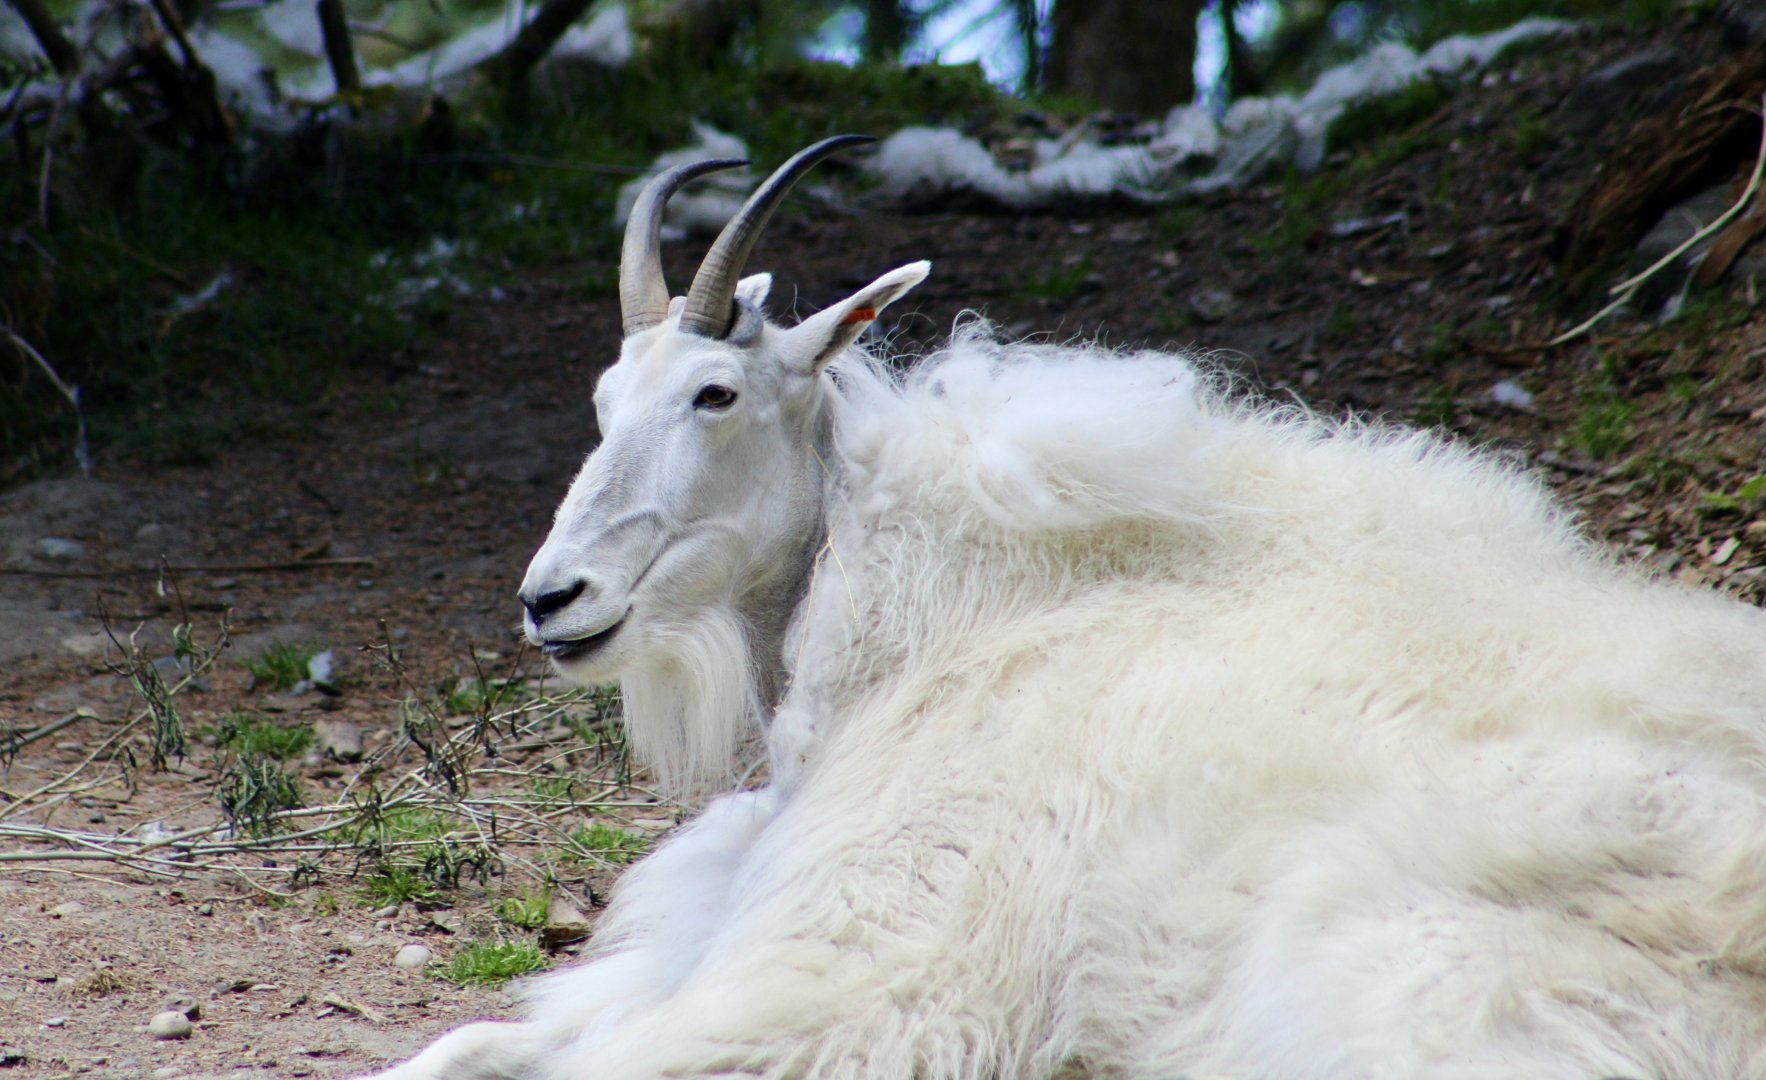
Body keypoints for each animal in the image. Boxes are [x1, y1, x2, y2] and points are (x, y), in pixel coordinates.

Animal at [367, 136, 1766, 1080]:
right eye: (603, 399)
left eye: (714, 393)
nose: (553, 599)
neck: (948, 608)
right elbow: (464, 1046)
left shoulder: (866, 977)